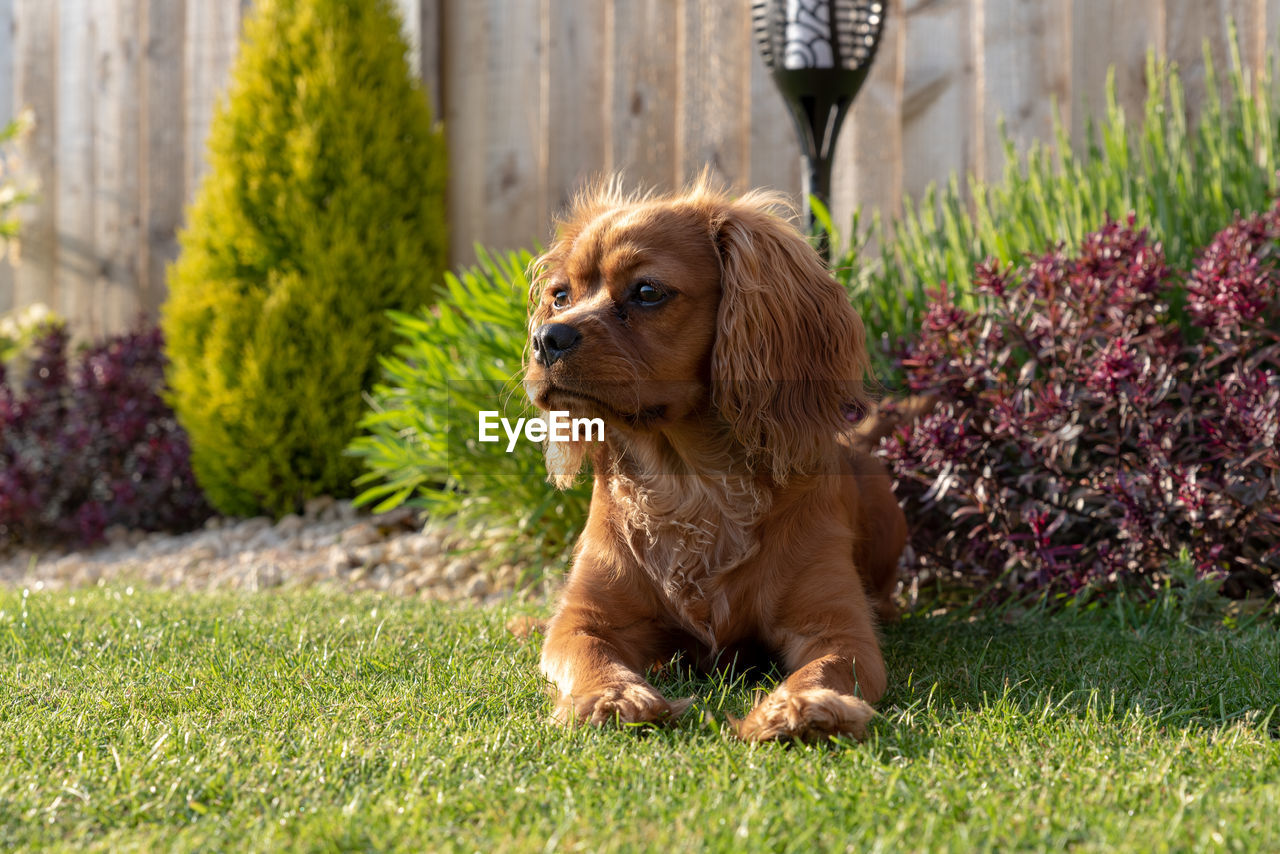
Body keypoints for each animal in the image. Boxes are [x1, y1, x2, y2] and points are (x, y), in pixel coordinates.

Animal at [524, 180, 906, 742]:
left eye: (647, 292)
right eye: (560, 296)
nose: (546, 338)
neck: (689, 482)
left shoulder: (838, 626)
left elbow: (829, 664)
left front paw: (805, 706)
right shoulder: (585, 619)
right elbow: (587, 653)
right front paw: (611, 697)